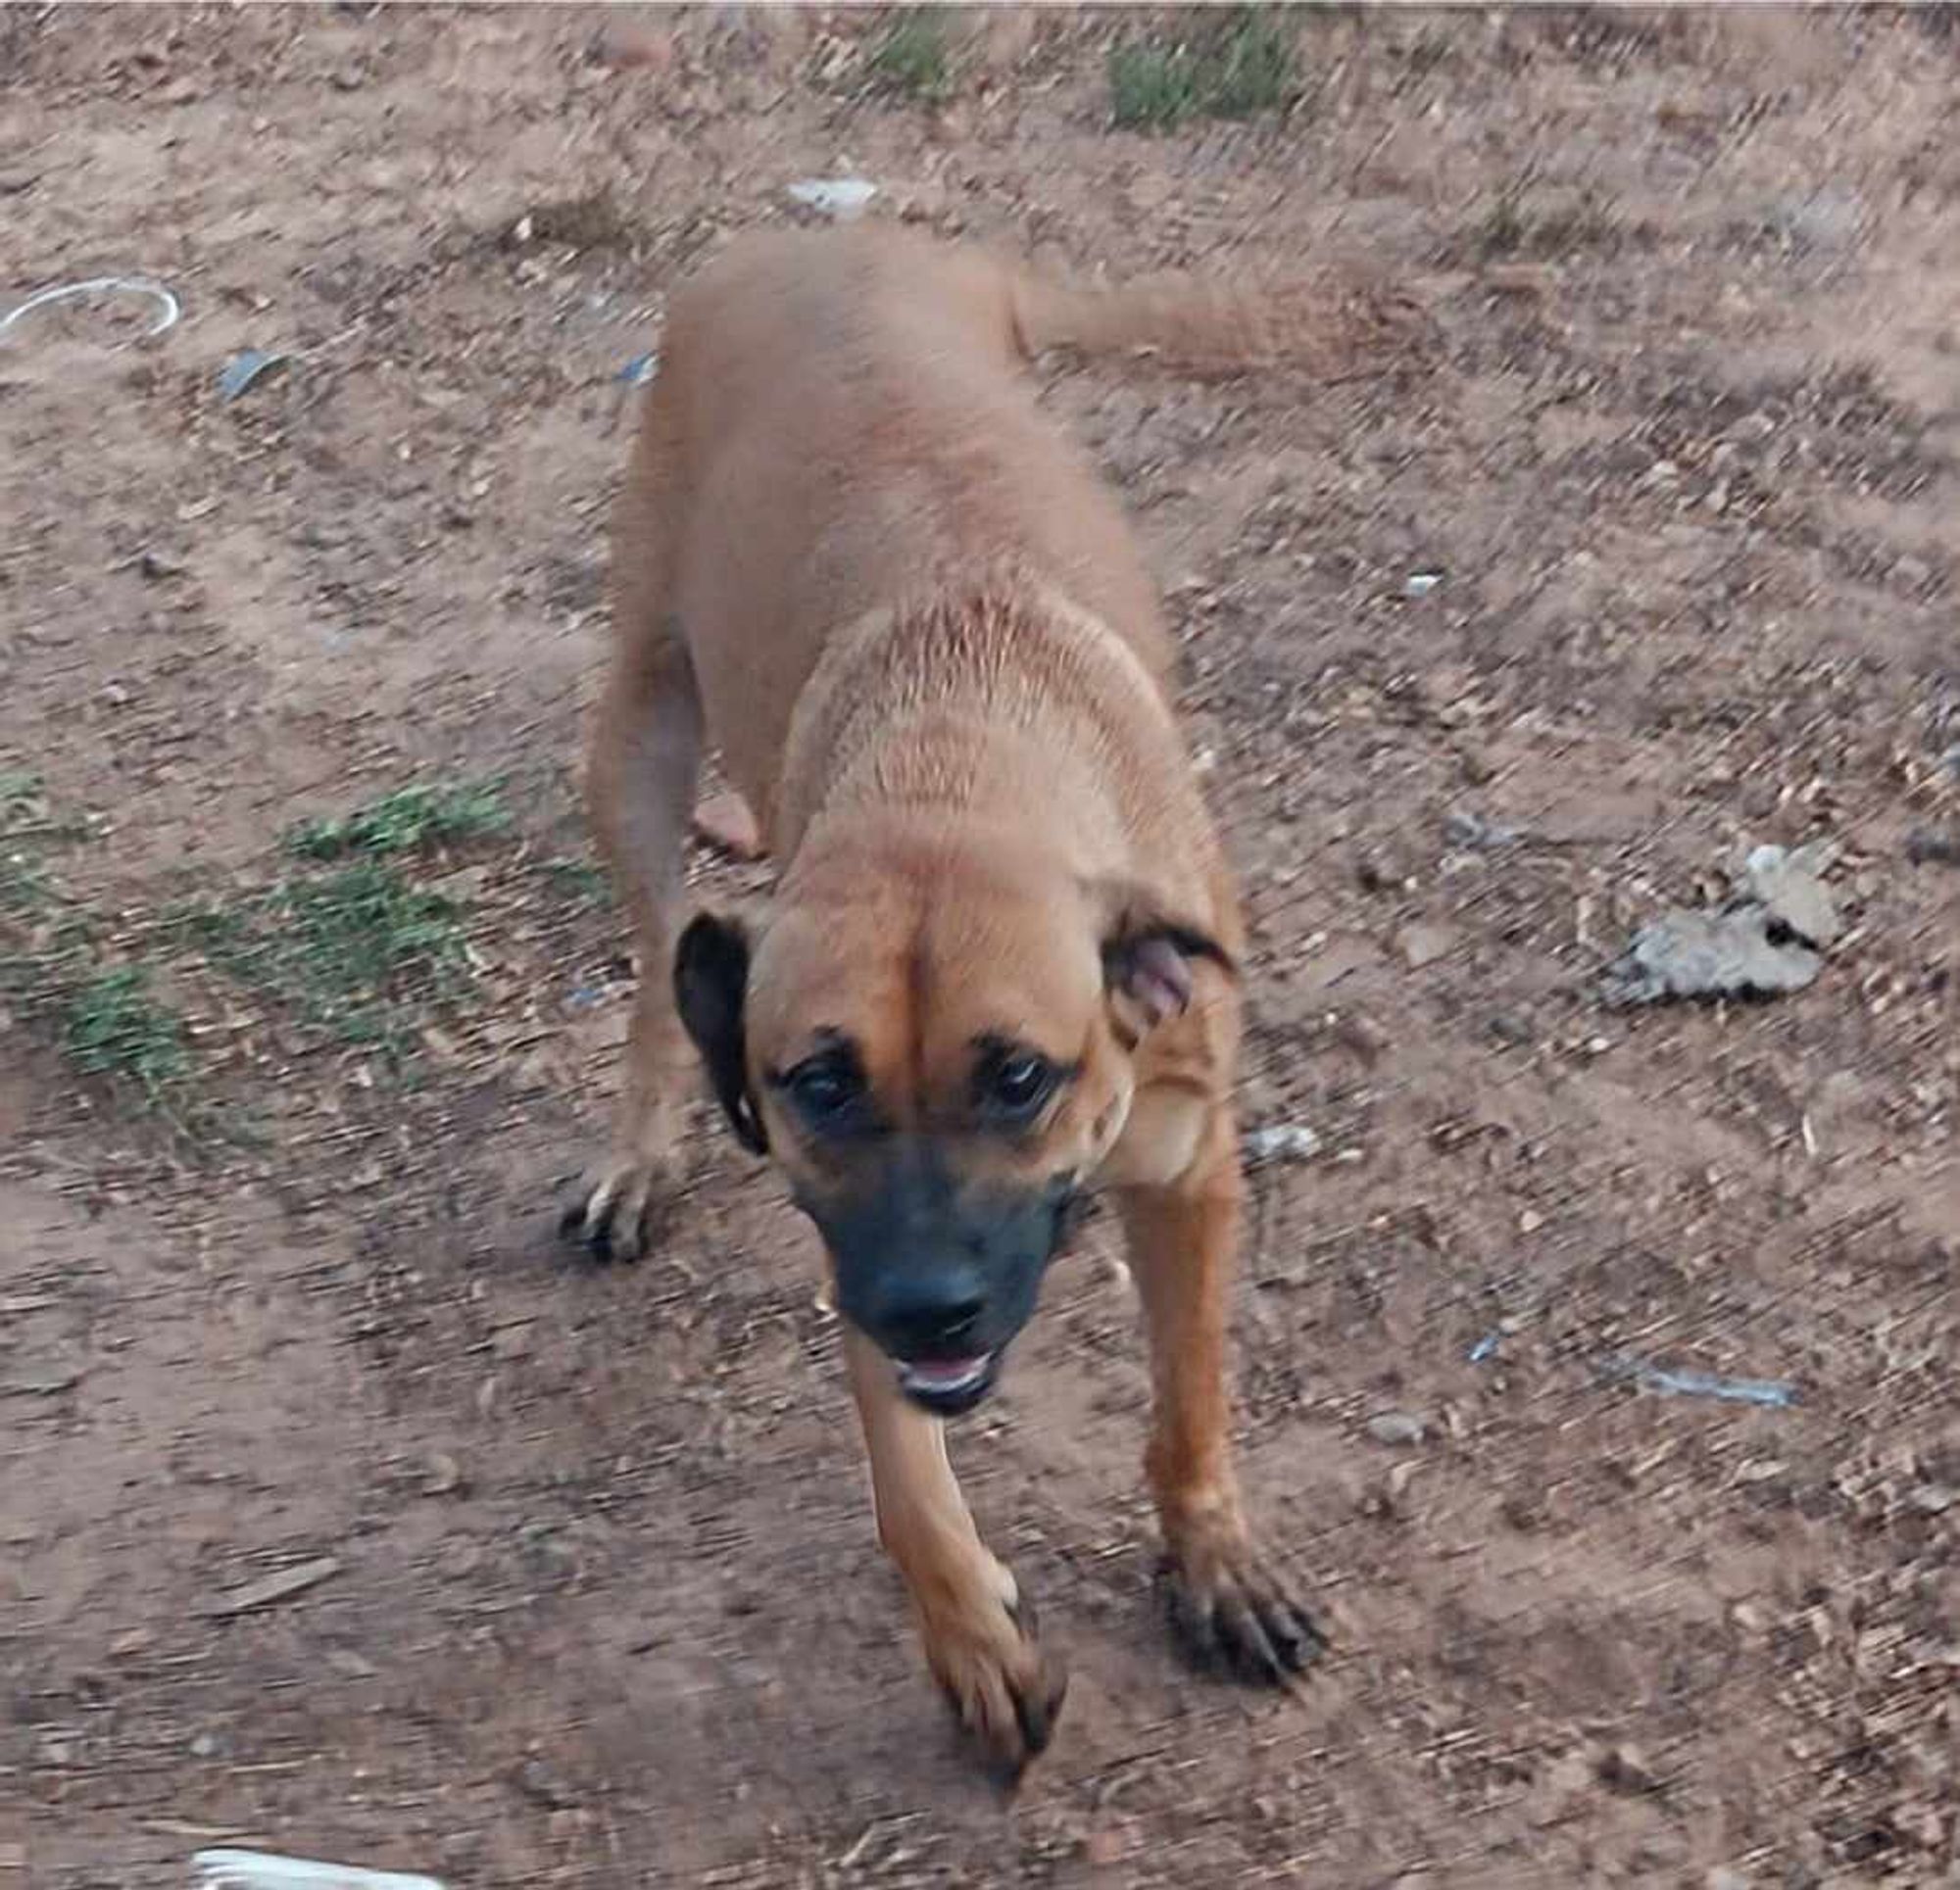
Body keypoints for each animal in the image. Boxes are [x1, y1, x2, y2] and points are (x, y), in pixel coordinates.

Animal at [568, 228, 1411, 1779]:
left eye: (1020, 1077)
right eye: (818, 1084)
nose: (931, 1309)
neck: (954, 757)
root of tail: (834, 238)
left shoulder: (1189, 1172)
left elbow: (1189, 1399)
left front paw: (1214, 1566)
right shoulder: (849, 1238)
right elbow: (906, 1488)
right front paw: (973, 1641)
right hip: (639, 719)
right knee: (659, 953)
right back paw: (640, 1155)